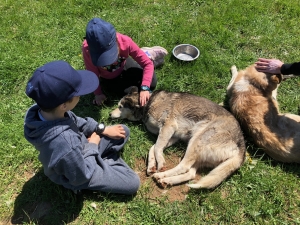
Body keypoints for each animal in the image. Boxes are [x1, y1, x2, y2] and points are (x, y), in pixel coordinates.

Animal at [110, 87, 246, 189]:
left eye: (120, 107)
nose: (109, 114)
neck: (148, 103)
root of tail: (241, 145)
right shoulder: (173, 135)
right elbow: (153, 147)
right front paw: (151, 165)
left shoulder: (168, 127)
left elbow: (157, 147)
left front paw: (160, 163)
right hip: (200, 154)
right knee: (190, 173)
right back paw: (168, 180)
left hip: (196, 141)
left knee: (184, 166)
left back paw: (162, 175)